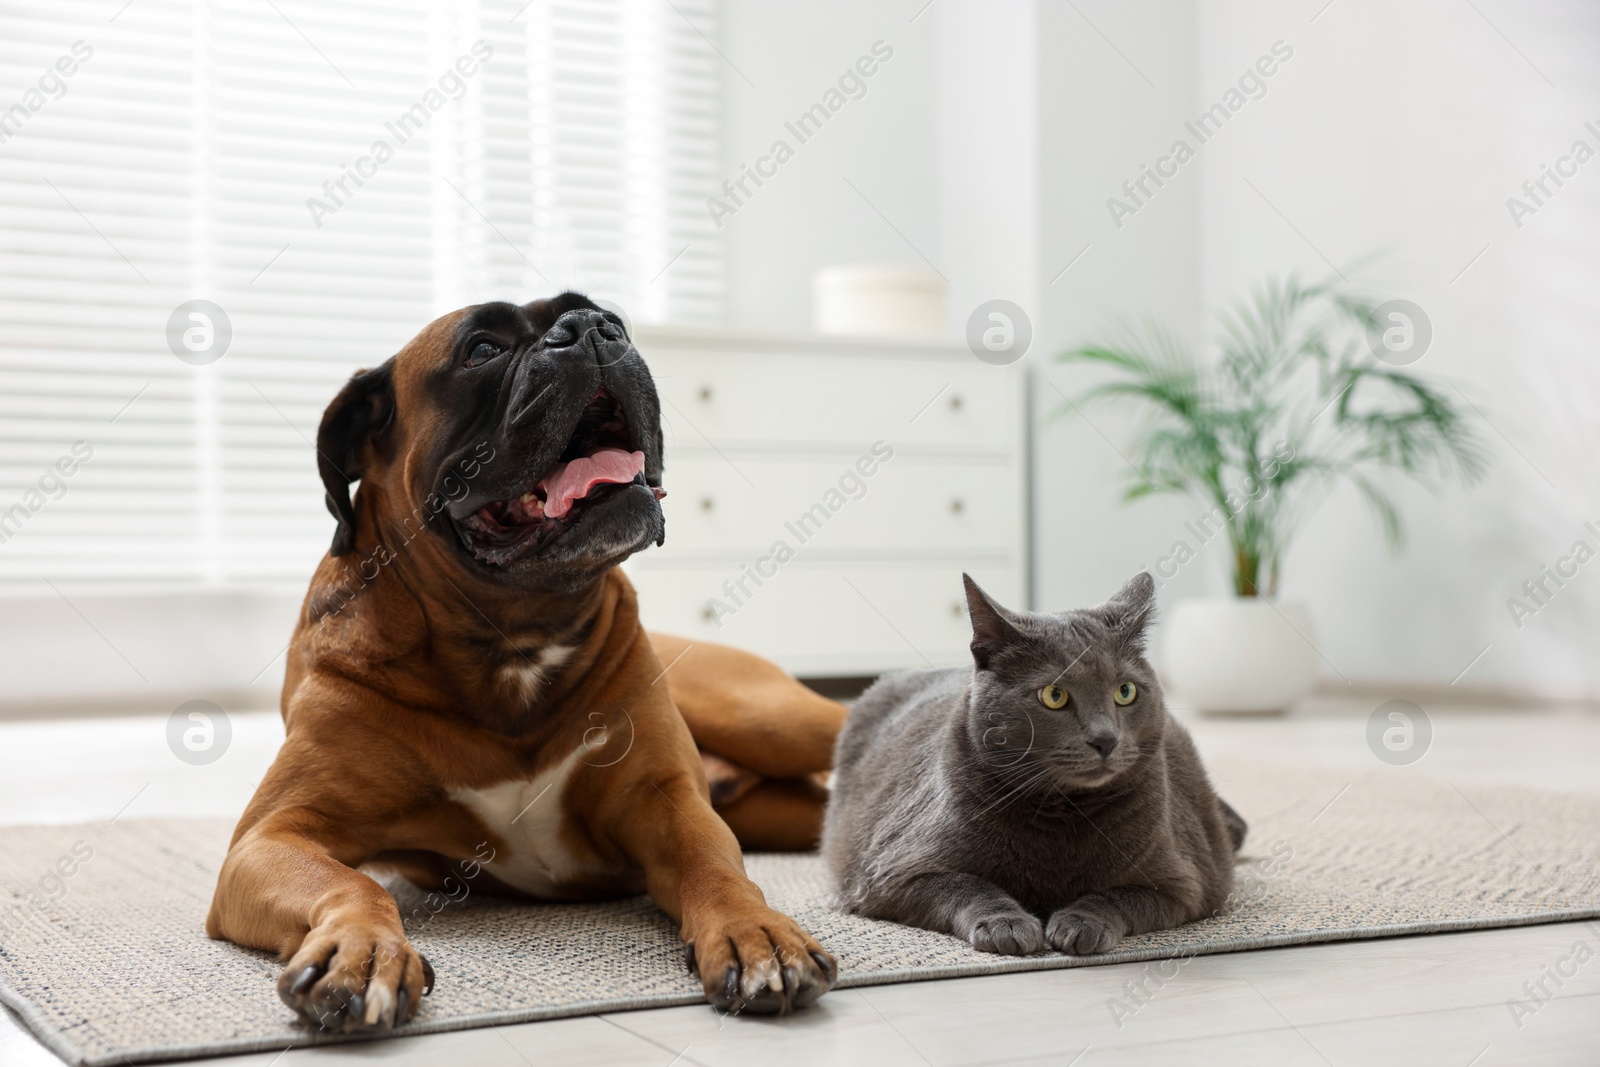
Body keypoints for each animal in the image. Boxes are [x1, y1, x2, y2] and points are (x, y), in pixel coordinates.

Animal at [212, 294, 851, 1036]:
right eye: (483, 350)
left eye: (612, 319)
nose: (594, 332)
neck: (513, 636)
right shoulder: (275, 836)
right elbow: (351, 881)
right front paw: (362, 950)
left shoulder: (667, 801)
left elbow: (717, 866)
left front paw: (757, 931)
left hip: (768, 717)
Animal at [825, 575, 1248, 959]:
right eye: (1054, 695)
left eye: (1125, 692)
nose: (1105, 739)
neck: (1062, 815)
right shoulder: (891, 872)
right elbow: (965, 885)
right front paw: (1006, 925)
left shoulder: (1186, 882)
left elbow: (1120, 896)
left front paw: (1082, 922)